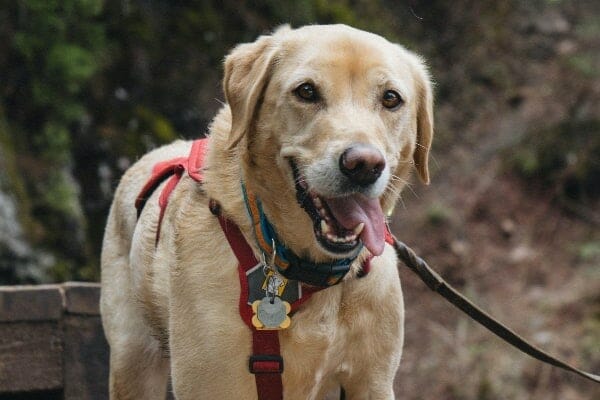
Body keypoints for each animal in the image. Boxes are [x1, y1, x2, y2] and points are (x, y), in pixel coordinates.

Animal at [101, 23, 434, 398]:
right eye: (306, 91)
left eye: (391, 98)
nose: (363, 165)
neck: (311, 274)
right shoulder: (211, 384)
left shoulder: (372, 382)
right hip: (133, 362)